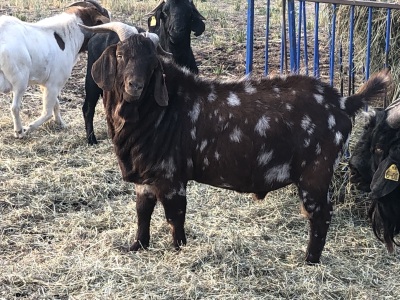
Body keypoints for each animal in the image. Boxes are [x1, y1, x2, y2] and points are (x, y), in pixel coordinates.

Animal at [0, 0, 109, 137]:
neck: (68, 34)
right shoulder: (54, 83)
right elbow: (47, 112)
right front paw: (29, 127)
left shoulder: (46, 84)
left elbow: (56, 104)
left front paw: (61, 123)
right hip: (20, 81)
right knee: (15, 107)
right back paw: (19, 131)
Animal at [81, 0, 206, 145]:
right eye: (165, 11)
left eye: (189, 12)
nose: (176, 32)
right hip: (92, 82)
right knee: (88, 107)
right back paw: (92, 139)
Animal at [81, 22, 390, 262]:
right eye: (121, 54)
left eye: (152, 64)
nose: (135, 86)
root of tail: (343, 102)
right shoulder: (145, 176)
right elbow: (142, 212)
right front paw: (137, 246)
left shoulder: (171, 177)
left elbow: (175, 218)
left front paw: (179, 252)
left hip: (316, 173)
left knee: (321, 215)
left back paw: (309, 261)